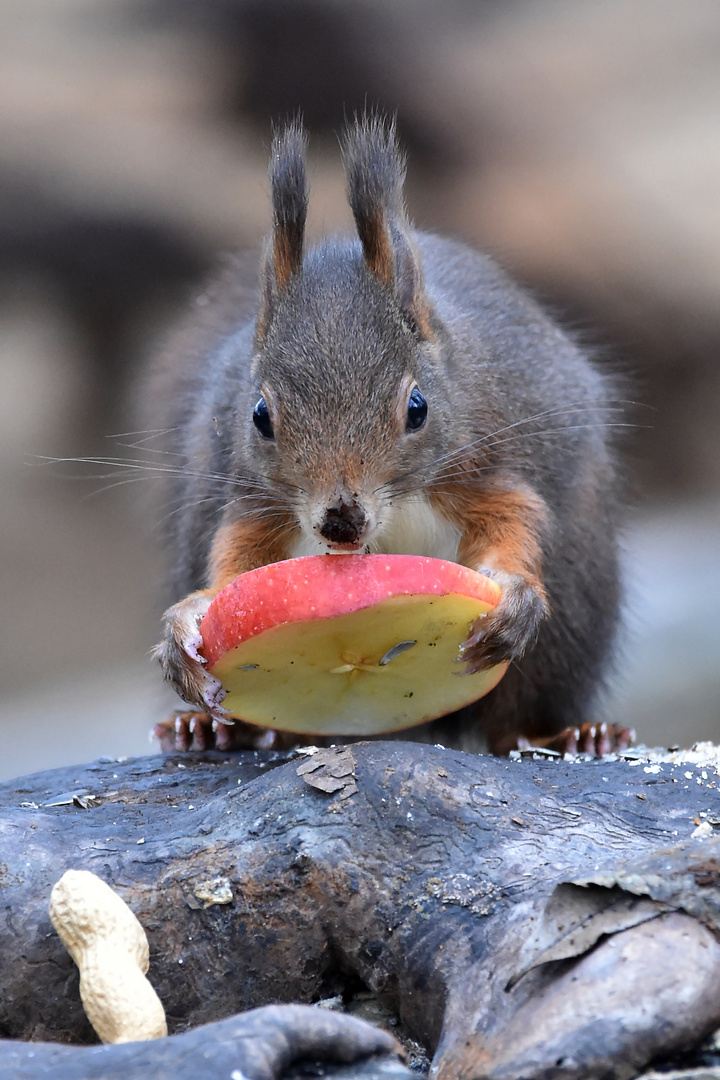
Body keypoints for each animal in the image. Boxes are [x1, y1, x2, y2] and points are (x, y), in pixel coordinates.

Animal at [151, 118, 630, 756]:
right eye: (259, 416)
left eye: (417, 408)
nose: (341, 522)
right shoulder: (253, 501)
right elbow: (234, 558)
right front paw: (187, 621)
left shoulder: (483, 463)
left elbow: (513, 519)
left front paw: (515, 595)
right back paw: (205, 728)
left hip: (574, 612)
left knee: (514, 719)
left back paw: (576, 734)